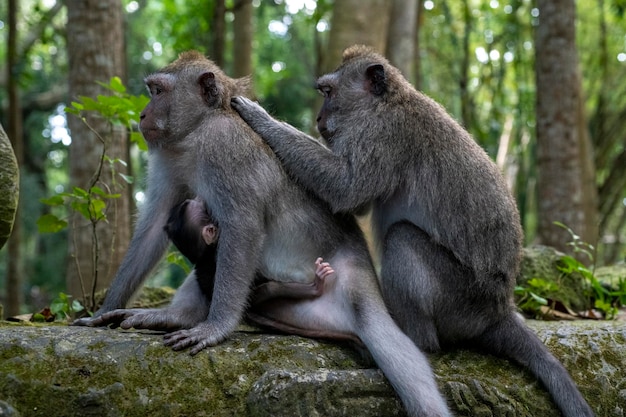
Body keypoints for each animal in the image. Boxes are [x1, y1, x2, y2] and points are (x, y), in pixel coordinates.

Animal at [73, 50, 450, 414]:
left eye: (158, 91)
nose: (142, 116)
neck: (198, 131)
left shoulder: (224, 148)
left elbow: (242, 226)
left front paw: (216, 328)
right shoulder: (170, 155)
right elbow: (154, 226)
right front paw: (102, 313)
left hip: (351, 285)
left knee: (399, 357)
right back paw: (173, 317)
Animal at [230, 45, 596, 416]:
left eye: (329, 93)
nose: (319, 119)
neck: (388, 102)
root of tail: (498, 311)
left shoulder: (384, 136)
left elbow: (347, 190)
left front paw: (260, 118)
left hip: (459, 302)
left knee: (403, 239)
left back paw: (410, 338)